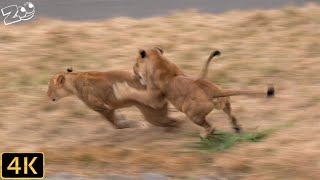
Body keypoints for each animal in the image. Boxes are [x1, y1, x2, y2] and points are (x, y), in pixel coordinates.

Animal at [113, 48, 276, 137]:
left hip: (191, 112)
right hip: (225, 103)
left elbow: (136, 93)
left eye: (135, 64)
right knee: (232, 115)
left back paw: (204, 135)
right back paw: (236, 128)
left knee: (211, 126)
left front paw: (121, 89)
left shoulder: (153, 98)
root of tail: (213, 90)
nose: (133, 70)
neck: (160, 60)